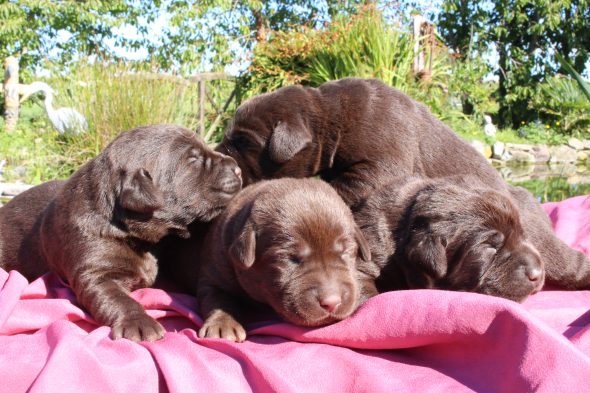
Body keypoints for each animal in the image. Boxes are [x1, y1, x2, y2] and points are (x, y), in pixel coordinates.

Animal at [192, 178, 372, 340]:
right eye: (289, 258)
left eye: (346, 251)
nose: (332, 302)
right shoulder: (214, 271)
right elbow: (217, 297)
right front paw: (223, 325)